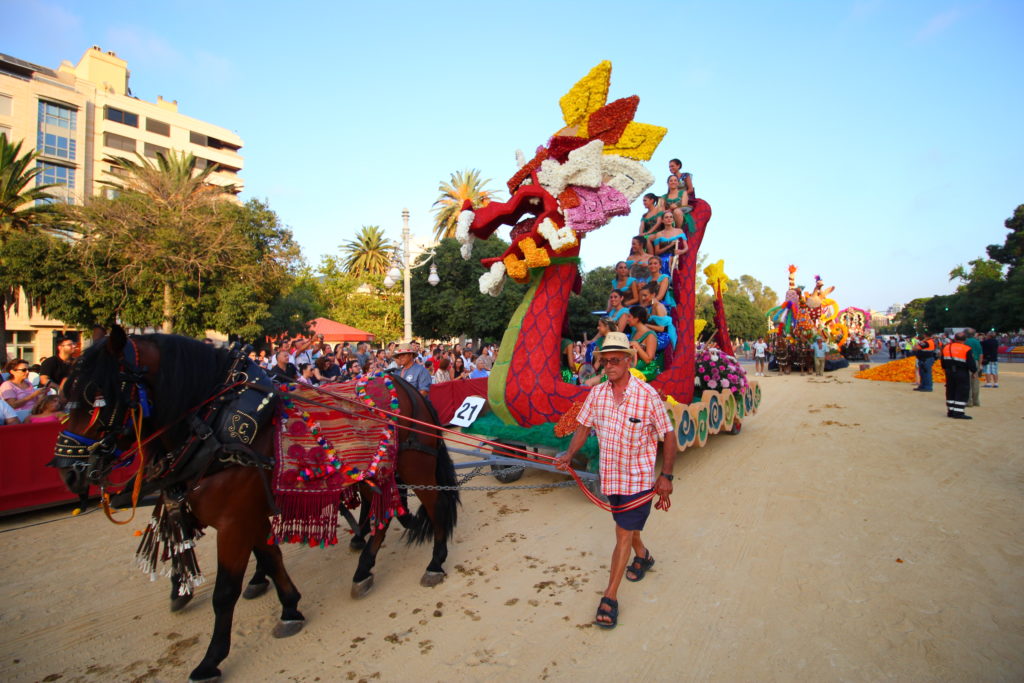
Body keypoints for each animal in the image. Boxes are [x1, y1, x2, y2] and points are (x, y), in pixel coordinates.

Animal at [50, 327, 459, 681]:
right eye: (66, 394)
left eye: (97, 397)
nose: (68, 471)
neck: (214, 425)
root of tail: (406, 385)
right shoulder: (247, 511)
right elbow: (270, 557)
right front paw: (289, 606)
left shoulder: (234, 521)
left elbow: (225, 592)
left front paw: (211, 659)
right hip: (375, 472)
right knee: (381, 518)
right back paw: (363, 570)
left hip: (414, 464)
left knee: (434, 508)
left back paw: (435, 563)